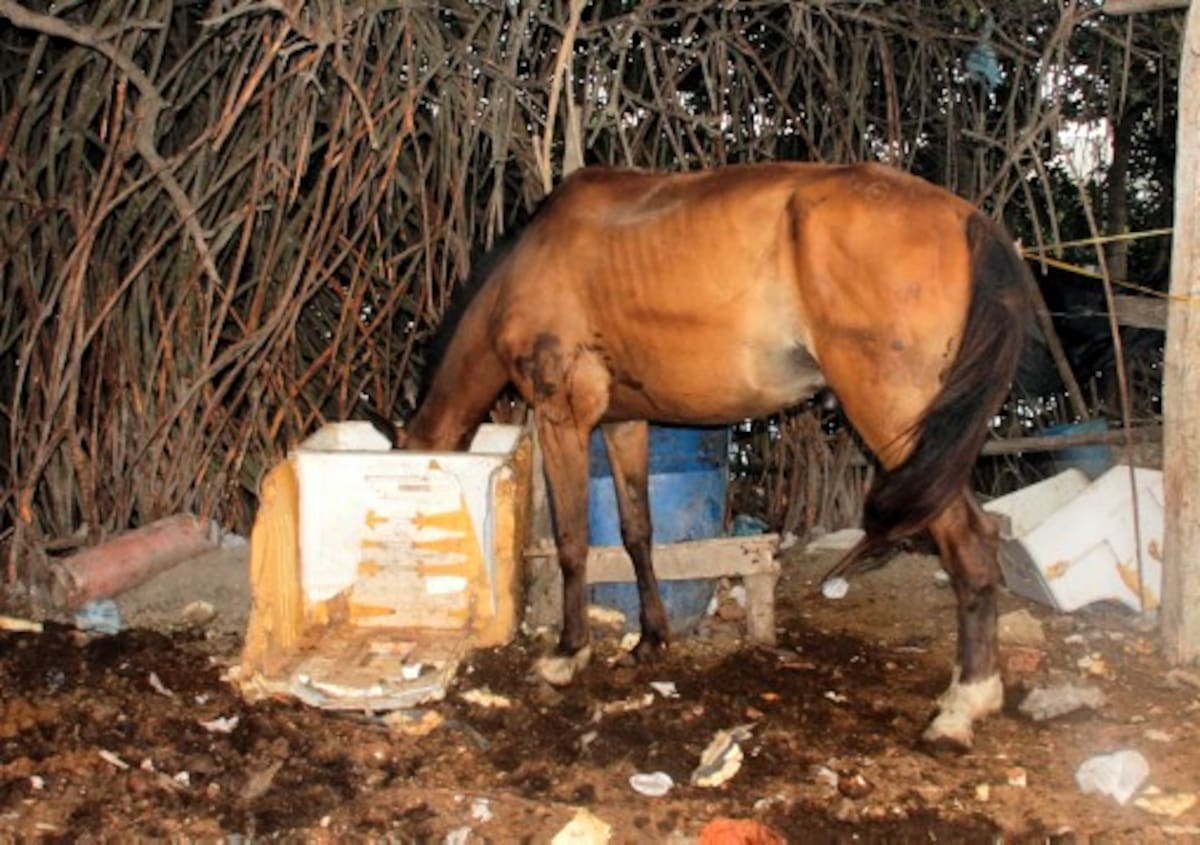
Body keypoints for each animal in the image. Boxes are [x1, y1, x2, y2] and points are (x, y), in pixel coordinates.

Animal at [403, 162, 1032, 750]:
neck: (525, 265)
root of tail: (968, 219)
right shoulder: (625, 423)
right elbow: (636, 532)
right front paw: (651, 638)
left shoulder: (563, 418)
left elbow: (572, 540)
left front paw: (568, 652)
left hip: (902, 424)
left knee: (970, 542)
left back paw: (964, 703)